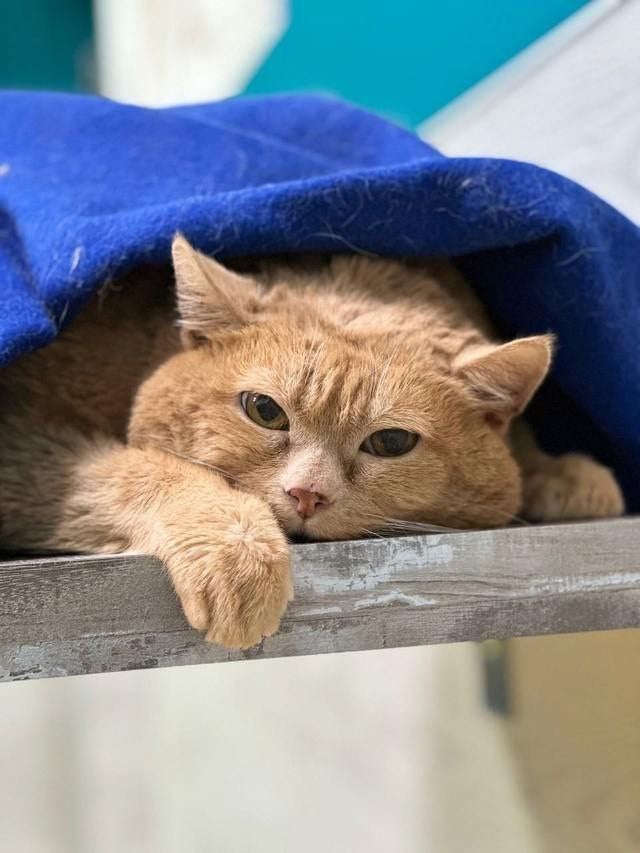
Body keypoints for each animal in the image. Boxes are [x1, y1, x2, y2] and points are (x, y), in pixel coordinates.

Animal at [0, 233, 624, 644]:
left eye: (391, 443)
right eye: (264, 411)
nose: (307, 495)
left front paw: (559, 473)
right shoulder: (24, 439)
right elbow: (138, 469)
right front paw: (236, 548)